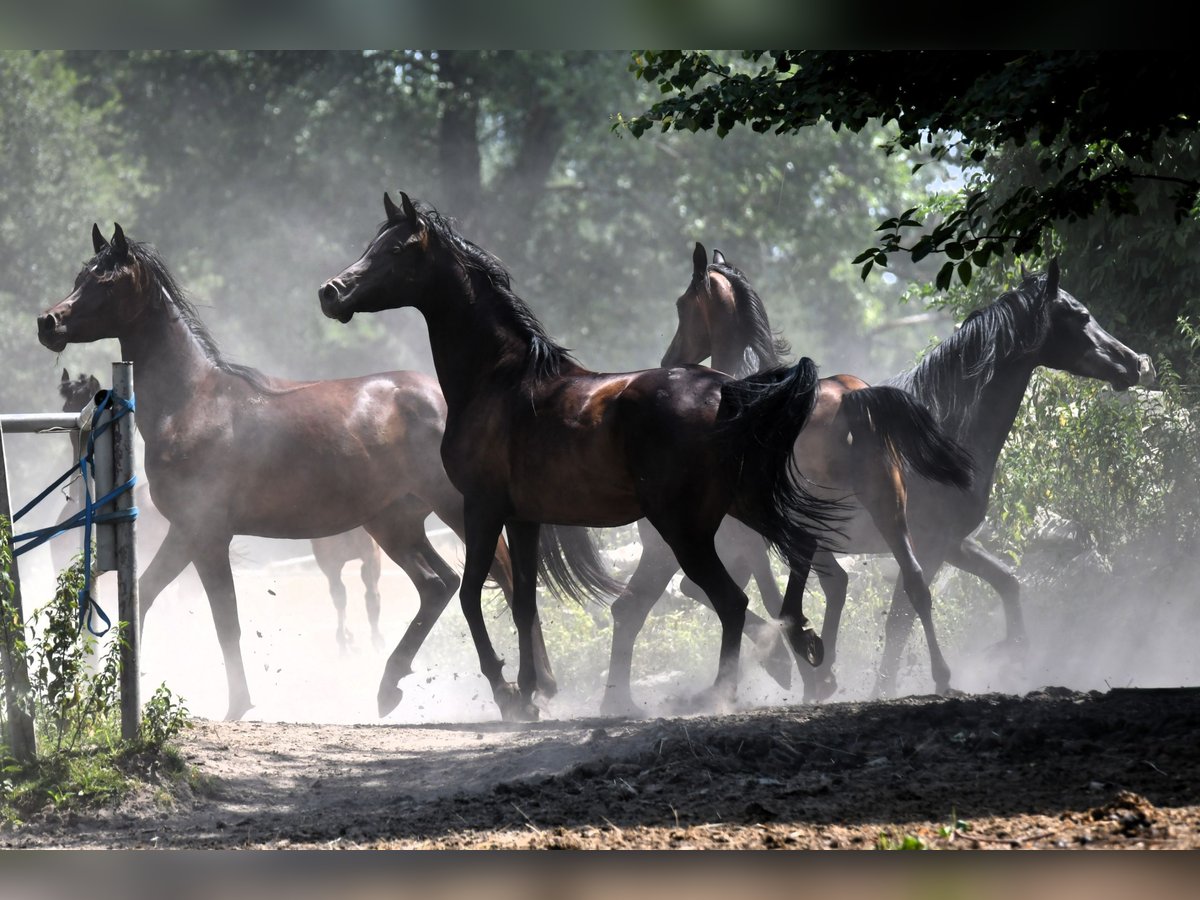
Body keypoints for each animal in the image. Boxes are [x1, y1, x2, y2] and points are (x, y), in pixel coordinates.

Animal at [37, 222, 559, 724]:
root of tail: (446, 398)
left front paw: (237, 705)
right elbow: (145, 597)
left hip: (455, 509)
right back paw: (392, 687)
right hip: (394, 522)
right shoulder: (187, 532)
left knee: (503, 576)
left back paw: (527, 692)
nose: (49, 322)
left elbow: (224, 620)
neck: (194, 402)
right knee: (439, 585)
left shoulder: (205, 534)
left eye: (104, 281)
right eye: (81, 275)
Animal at [319, 194, 854, 724]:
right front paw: (531, 693)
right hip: (744, 503)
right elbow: (525, 603)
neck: (501, 380)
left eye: (395, 250)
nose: (331, 292)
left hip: (686, 528)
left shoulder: (482, 508)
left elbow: (472, 596)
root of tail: (728, 389)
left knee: (732, 601)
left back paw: (717, 693)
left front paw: (507, 694)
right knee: (800, 549)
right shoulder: (523, 518)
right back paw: (804, 641)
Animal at [604, 247, 979, 710]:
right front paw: (810, 668)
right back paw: (938, 676)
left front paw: (793, 665)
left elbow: (758, 597)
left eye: (681, 304)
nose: (669, 360)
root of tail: (853, 397)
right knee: (913, 582)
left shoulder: (748, 540)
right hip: (885, 506)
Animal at [667, 250, 1152, 700]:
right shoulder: (931, 542)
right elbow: (904, 614)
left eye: (681, 304)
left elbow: (1005, 582)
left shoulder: (949, 542)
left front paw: (1011, 649)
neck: (946, 423)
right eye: (1082, 316)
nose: (1133, 362)